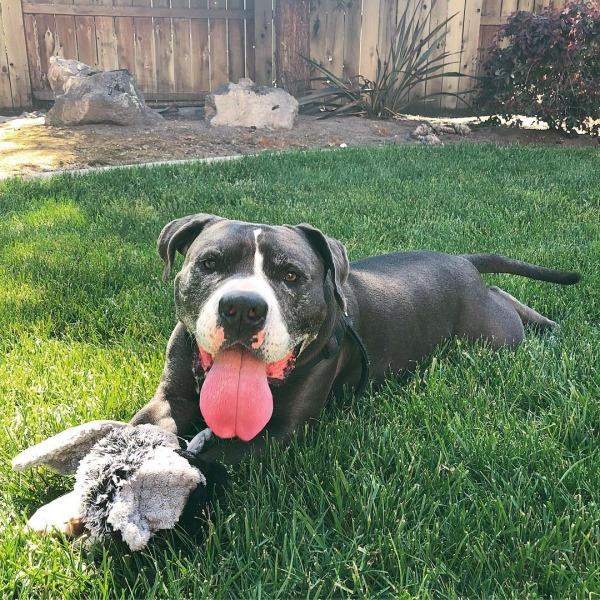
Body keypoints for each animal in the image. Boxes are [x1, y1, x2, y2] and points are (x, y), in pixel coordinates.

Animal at [131, 216, 580, 468]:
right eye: (210, 264)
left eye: (291, 275)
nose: (242, 307)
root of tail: (461, 260)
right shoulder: (170, 398)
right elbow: (141, 428)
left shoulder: (278, 431)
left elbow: (212, 459)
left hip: (492, 335)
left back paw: (548, 327)